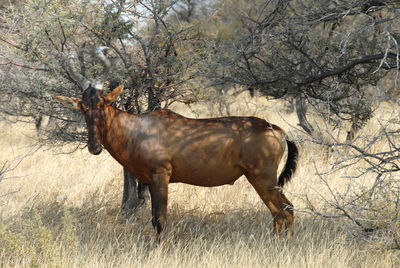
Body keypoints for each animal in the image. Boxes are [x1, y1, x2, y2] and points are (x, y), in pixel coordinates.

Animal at [57, 47, 298, 240]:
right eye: (83, 107)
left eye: (103, 104)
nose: (94, 147)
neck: (141, 128)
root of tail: (277, 130)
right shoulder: (150, 181)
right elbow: (153, 218)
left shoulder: (161, 176)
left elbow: (160, 219)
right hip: (267, 180)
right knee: (288, 208)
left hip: (262, 178)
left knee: (281, 211)